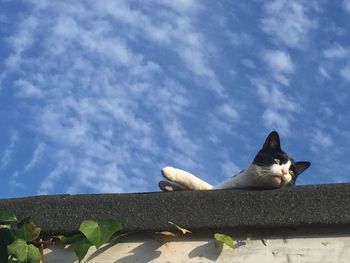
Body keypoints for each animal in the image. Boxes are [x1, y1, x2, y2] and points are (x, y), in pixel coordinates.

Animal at [159, 131, 308, 192]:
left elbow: (194, 180)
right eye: (277, 160)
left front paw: (170, 172)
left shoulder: (214, 189)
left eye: (291, 172)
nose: (284, 172)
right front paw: (167, 185)